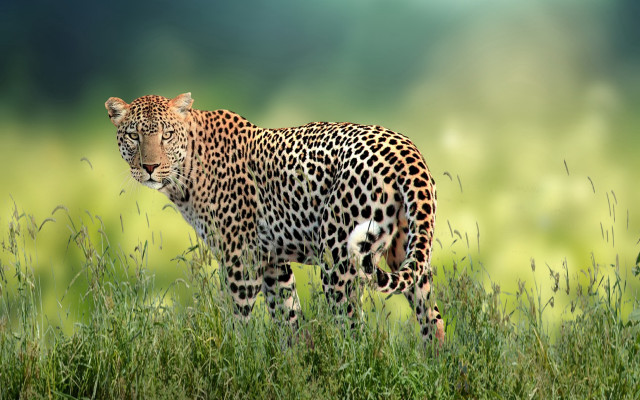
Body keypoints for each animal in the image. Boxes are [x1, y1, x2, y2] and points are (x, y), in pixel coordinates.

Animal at [105, 93, 444, 342]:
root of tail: (406, 150)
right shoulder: (271, 261)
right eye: (133, 135)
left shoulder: (241, 259)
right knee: (432, 319)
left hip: (338, 258)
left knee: (352, 329)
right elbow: (288, 319)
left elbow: (236, 321)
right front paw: (295, 367)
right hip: (406, 252)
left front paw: (231, 362)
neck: (185, 172)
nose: (149, 167)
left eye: (166, 135)